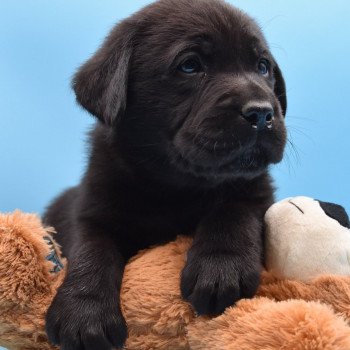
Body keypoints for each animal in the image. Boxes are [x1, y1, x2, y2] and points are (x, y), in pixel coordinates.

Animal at [45, 0, 288, 348]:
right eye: (190, 66)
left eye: (263, 66)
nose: (262, 113)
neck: (175, 185)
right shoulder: (91, 208)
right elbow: (89, 248)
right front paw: (83, 315)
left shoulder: (256, 192)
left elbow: (235, 211)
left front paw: (220, 267)